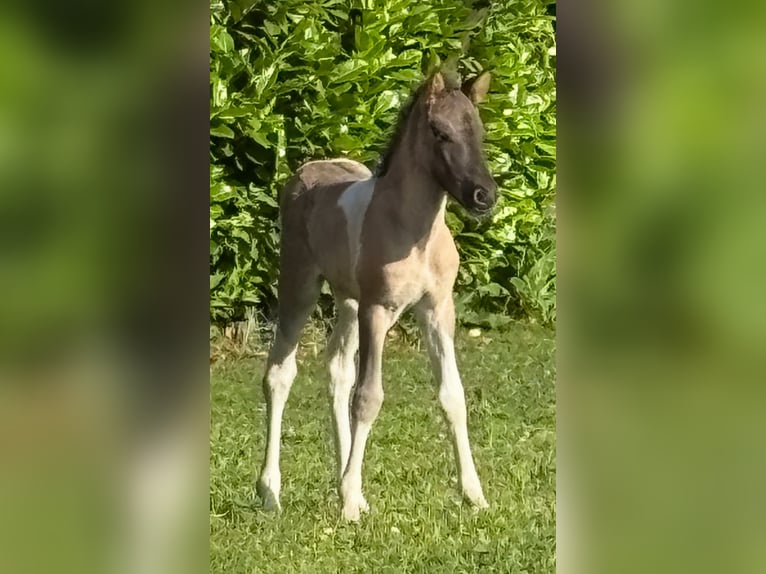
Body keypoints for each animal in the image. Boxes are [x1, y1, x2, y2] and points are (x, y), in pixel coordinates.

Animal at [256, 71, 497, 521]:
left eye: (480, 131)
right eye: (440, 132)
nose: (484, 195)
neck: (415, 233)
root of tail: (306, 169)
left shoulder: (438, 309)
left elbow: (453, 396)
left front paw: (474, 495)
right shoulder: (377, 311)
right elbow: (368, 398)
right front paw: (349, 502)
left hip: (348, 301)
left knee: (337, 371)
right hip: (300, 286)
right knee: (279, 374)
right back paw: (270, 491)